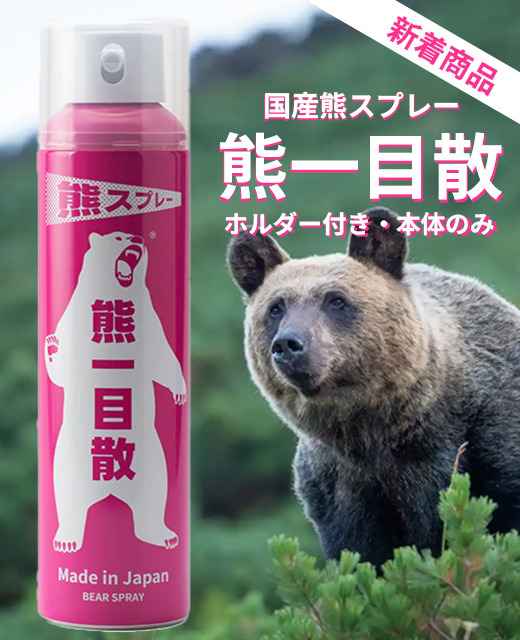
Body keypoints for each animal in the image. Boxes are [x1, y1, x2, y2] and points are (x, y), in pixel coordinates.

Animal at [45, 231, 186, 553]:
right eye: (119, 237)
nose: (136, 239)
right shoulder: (74, 313)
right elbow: (62, 370)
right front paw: (52, 345)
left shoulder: (151, 316)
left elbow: (163, 357)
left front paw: (179, 392)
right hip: (68, 463)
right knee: (67, 500)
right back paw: (66, 540)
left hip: (154, 461)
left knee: (155, 497)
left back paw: (164, 536)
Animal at [227, 207, 520, 566]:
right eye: (276, 307)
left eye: (336, 299)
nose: (288, 344)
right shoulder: (340, 484)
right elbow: (360, 551)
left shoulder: (486, 435)